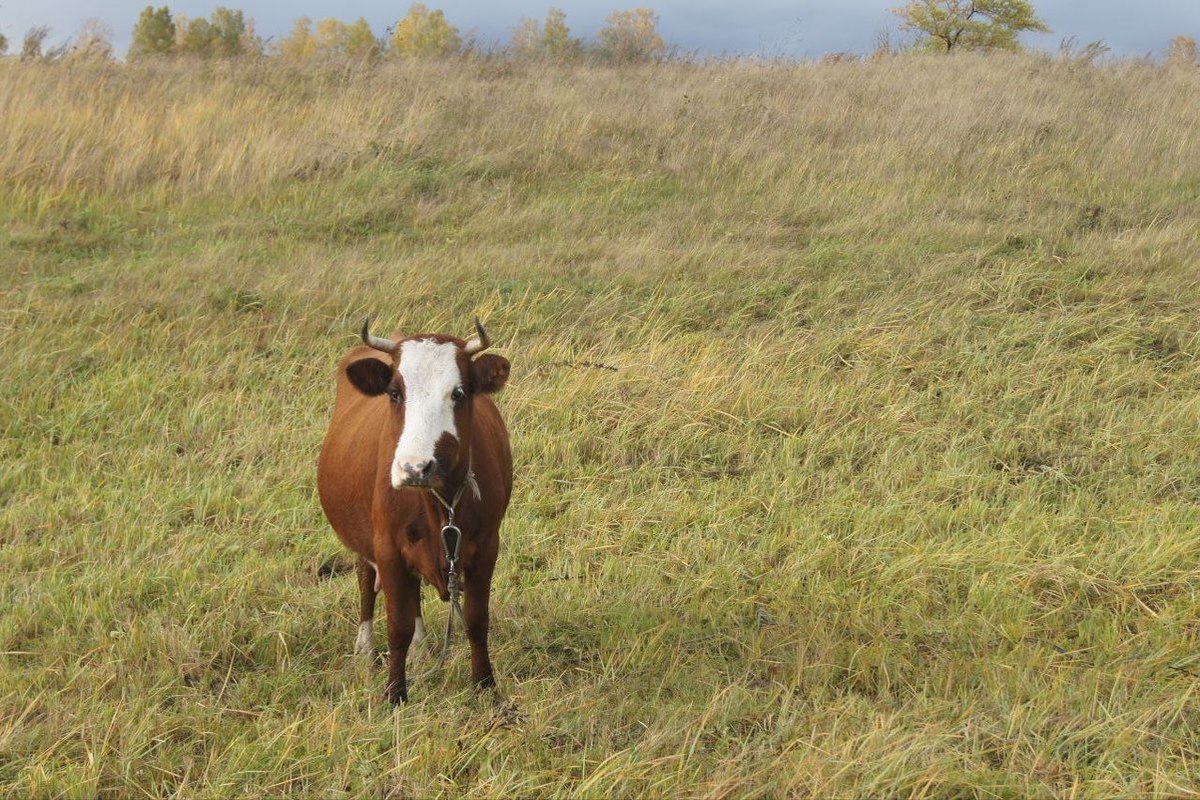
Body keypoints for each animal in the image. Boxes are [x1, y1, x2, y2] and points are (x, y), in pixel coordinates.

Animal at [316, 316, 508, 705]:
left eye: (458, 393)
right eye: (394, 393)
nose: (416, 468)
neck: (441, 504)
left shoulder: (487, 547)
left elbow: (476, 619)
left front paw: (484, 684)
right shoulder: (387, 548)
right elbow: (398, 626)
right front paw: (395, 694)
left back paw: (420, 648)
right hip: (366, 541)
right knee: (365, 582)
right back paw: (365, 647)